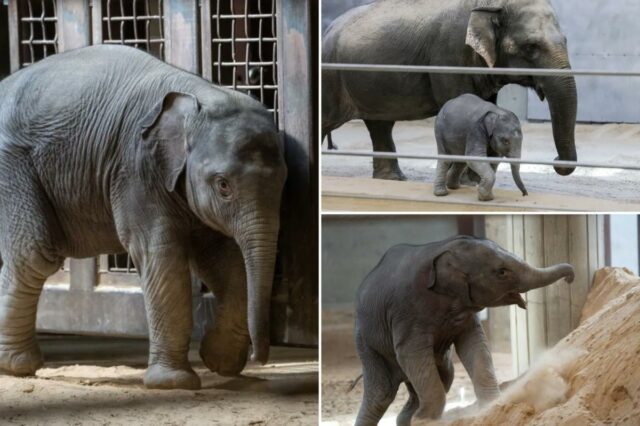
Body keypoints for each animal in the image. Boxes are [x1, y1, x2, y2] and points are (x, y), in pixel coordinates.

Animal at [0, 45, 287, 390]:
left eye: (283, 182)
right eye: (223, 186)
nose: (262, 359)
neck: (198, 94)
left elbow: (223, 258)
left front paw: (219, 362)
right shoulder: (135, 169)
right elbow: (163, 254)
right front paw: (174, 383)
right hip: (12, 166)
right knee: (33, 254)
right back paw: (16, 365)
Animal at [322, 0, 577, 181]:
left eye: (566, 40)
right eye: (530, 46)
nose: (556, 159)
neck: (489, 5)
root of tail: (328, 28)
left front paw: (472, 180)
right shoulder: (449, 53)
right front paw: (467, 181)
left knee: (380, 125)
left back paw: (392, 179)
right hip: (332, 76)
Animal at [354, 235, 575, 425]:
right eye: (502, 273)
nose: (570, 279)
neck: (441, 248)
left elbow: (474, 344)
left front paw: (492, 406)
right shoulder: (407, 311)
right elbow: (411, 354)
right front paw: (425, 420)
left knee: (443, 377)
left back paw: (408, 418)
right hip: (366, 344)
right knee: (381, 396)